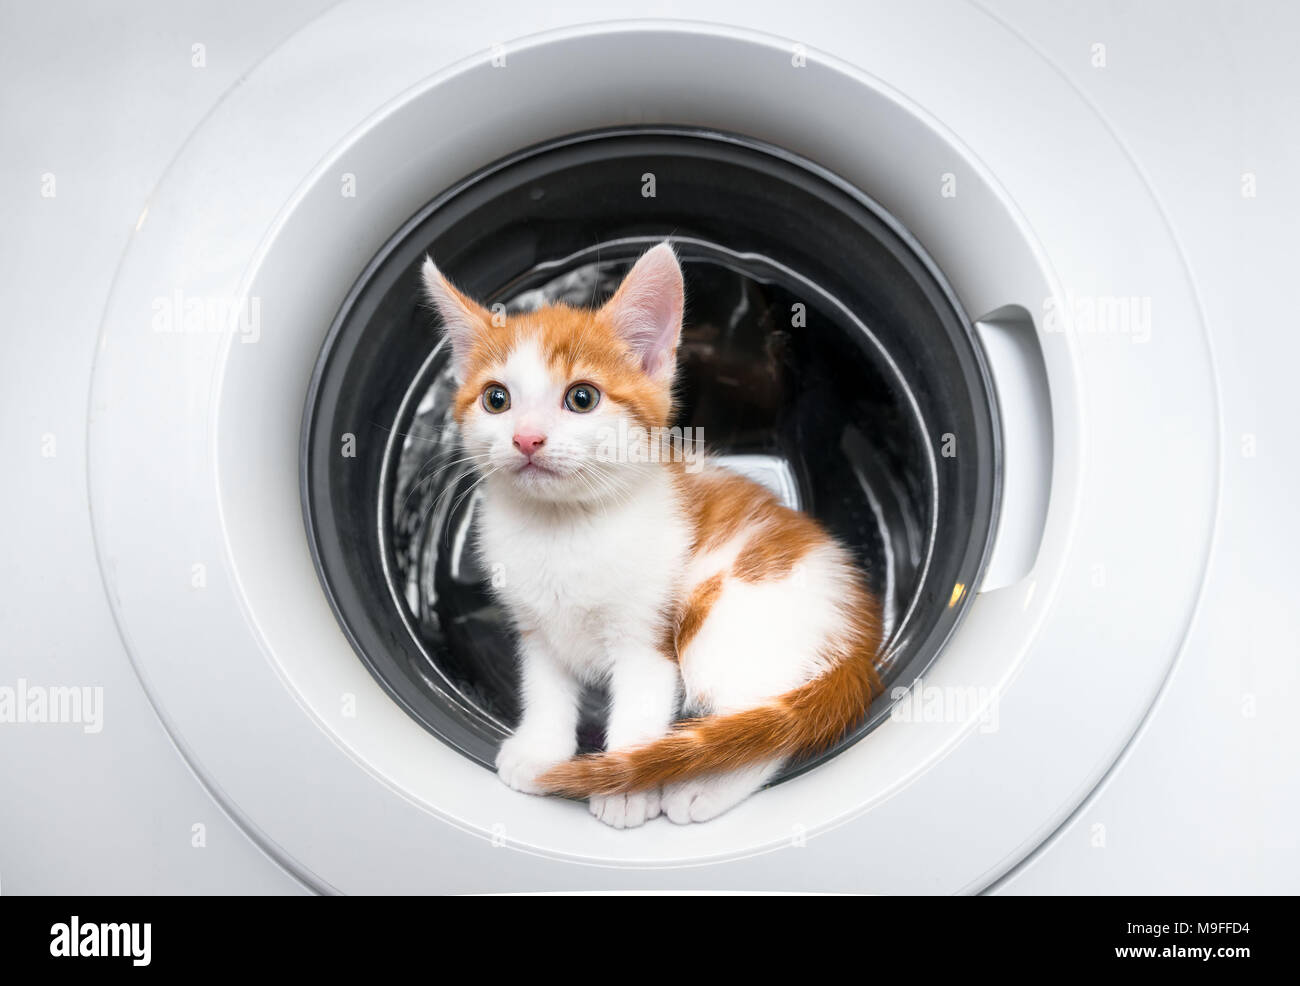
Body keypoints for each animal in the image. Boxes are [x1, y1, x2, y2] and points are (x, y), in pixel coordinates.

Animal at [423, 243, 883, 832]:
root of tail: (860, 641)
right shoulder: (534, 628)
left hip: (721, 625)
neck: (563, 528)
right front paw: (540, 750)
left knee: (769, 726)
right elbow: (546, 689)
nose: (527, 438)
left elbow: (640, 710)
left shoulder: (647, 638)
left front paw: (624, 788)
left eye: (582, 398)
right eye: (496, 399)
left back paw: (702, 785)